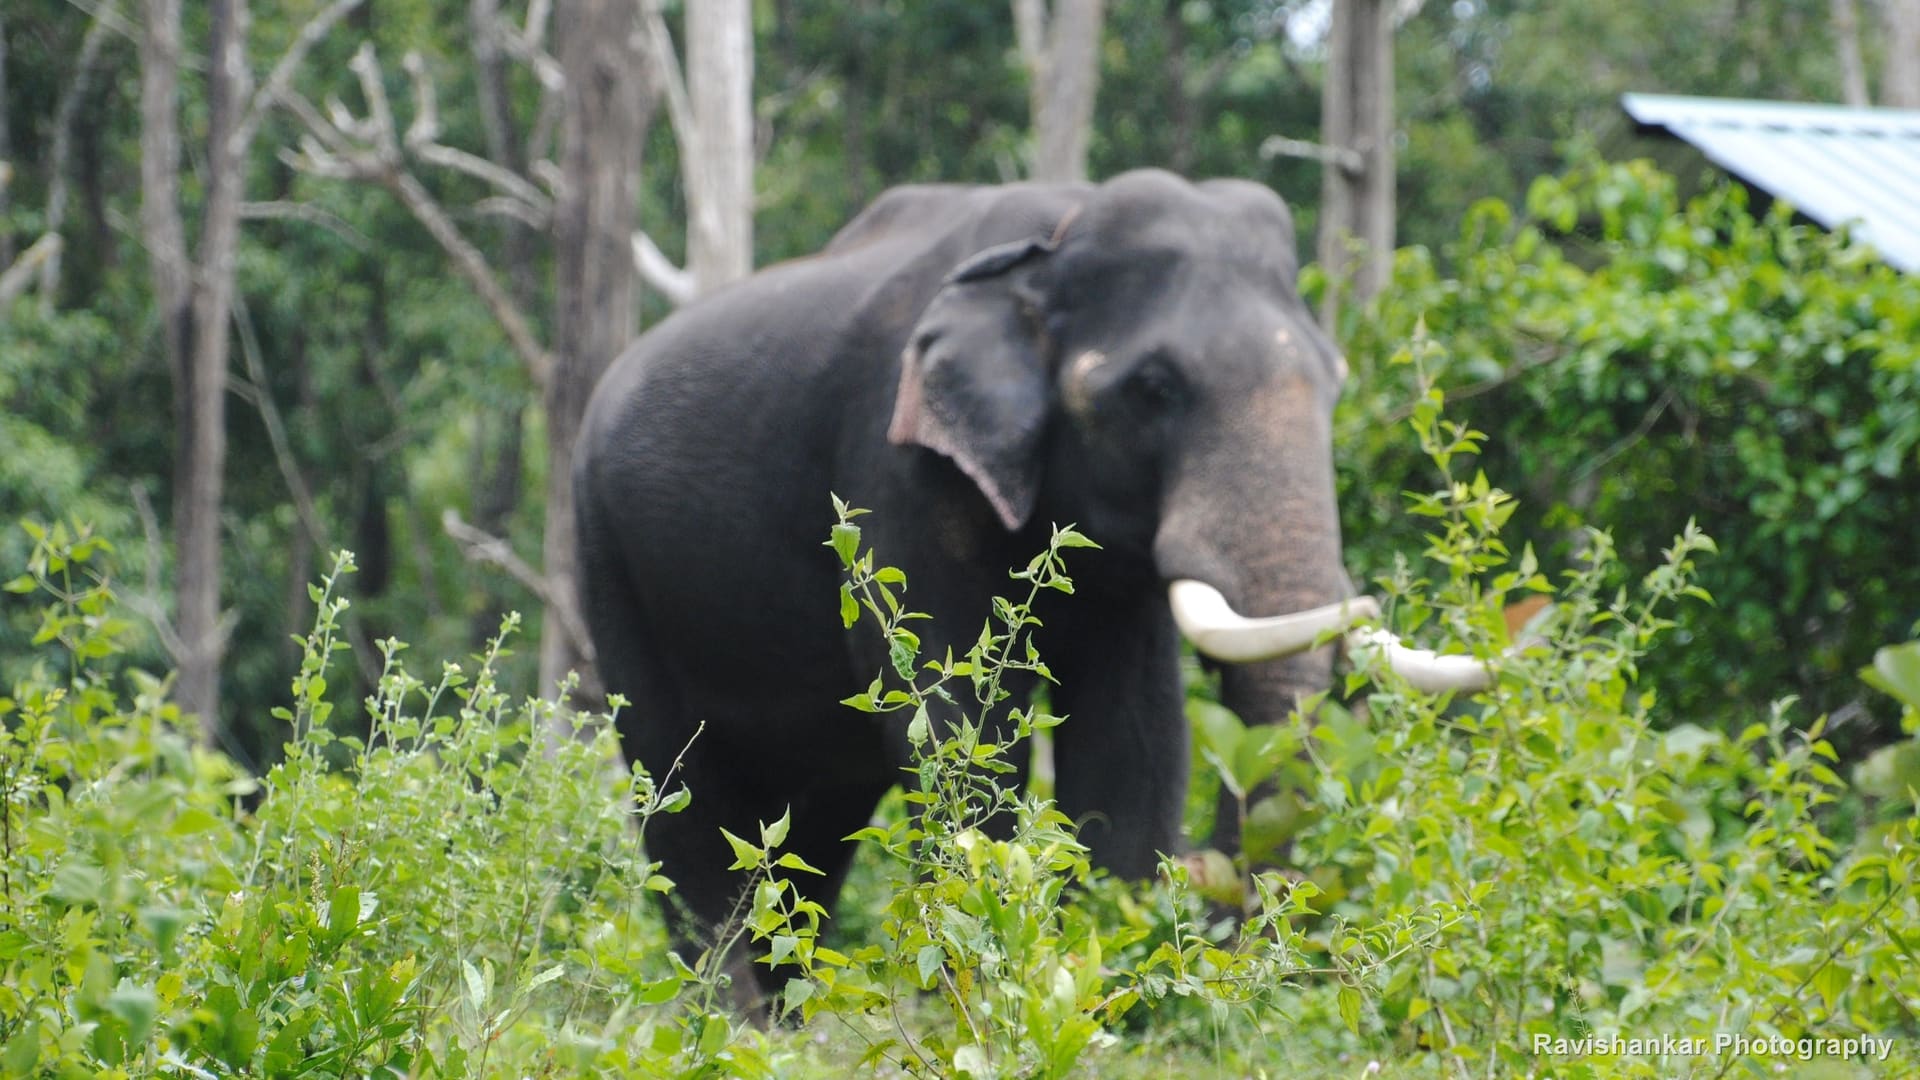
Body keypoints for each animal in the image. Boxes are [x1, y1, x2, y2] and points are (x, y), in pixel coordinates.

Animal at [574, 169, 1485, 998]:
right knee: (678, 794)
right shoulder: (896, 470)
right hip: (604, 555)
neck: (1051, 241)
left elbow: (1134, 735)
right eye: (1154, 388)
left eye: (1337, 381)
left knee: (812, 821)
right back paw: (733, 1024)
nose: (1205, 880)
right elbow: (948, 725)